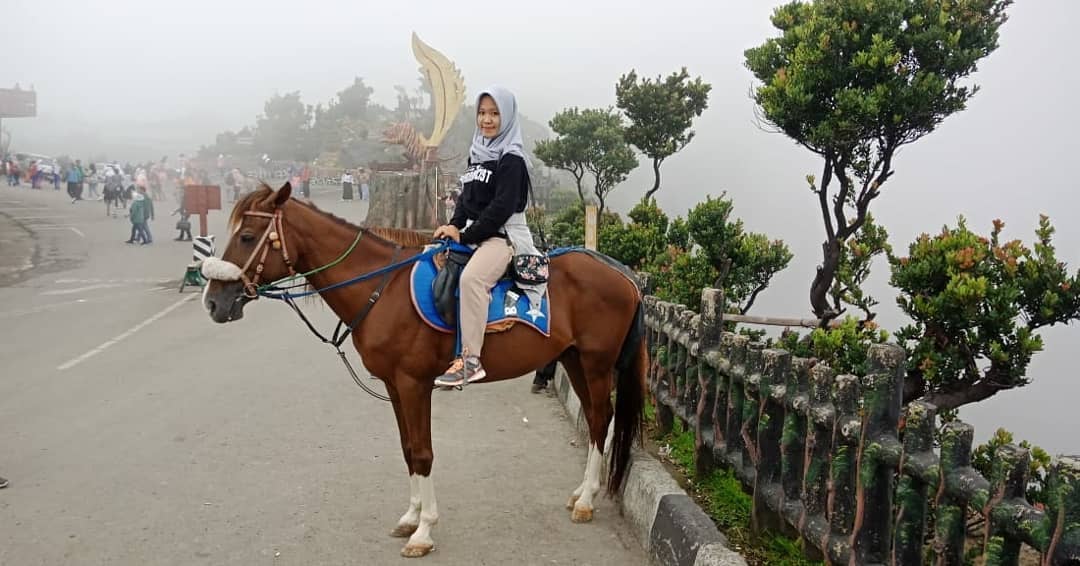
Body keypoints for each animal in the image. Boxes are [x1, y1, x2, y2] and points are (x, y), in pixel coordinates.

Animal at [203, 184, 643, 557]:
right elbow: (406, 449)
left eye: (247, 237)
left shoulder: (415, 384)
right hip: (573, 358)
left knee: (601, 418)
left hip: (596, 363)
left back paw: (586, 500)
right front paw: (411, 517)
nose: (213, 301)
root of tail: (625, 274)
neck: (382, 289)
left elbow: (423, 451)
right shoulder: (395, 386)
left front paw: (424, 530)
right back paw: (580, 493)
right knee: (596, 419)